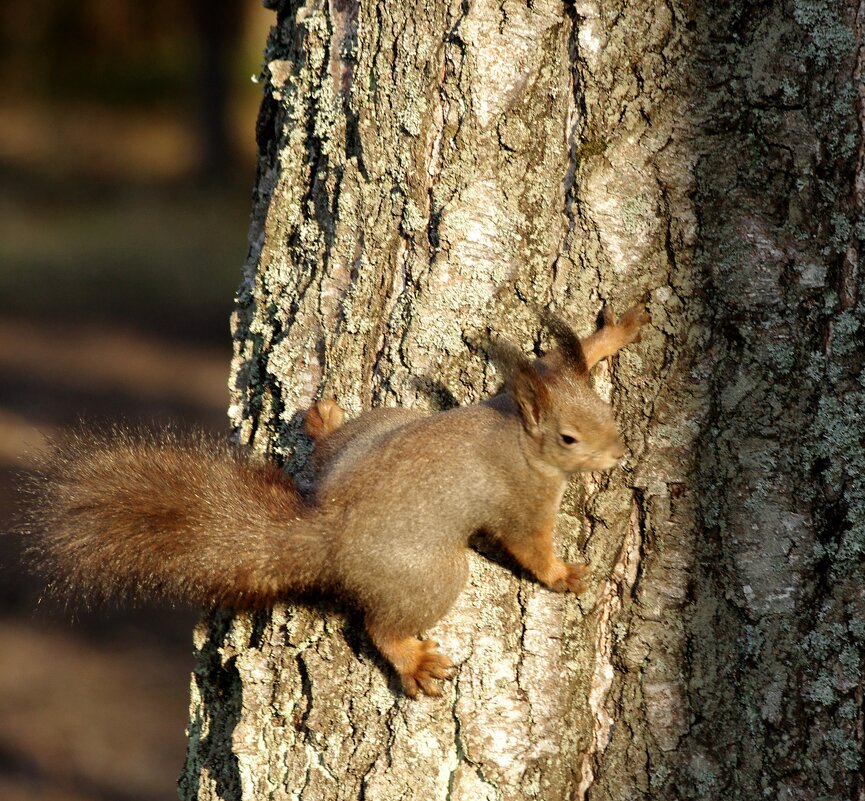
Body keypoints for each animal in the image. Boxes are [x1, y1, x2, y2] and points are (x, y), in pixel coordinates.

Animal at [22, 300, 648, 692]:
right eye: (568, 439)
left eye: (607, 411)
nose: (618, 455)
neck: (518, 428)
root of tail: (327, 537)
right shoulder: (522, 498)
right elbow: (530, 547)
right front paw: (563, 575)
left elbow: (563, 358)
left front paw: (612, 334)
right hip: (432, 576)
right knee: (381, 628)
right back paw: (414, 663)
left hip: (380, 426)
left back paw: (324, 422)